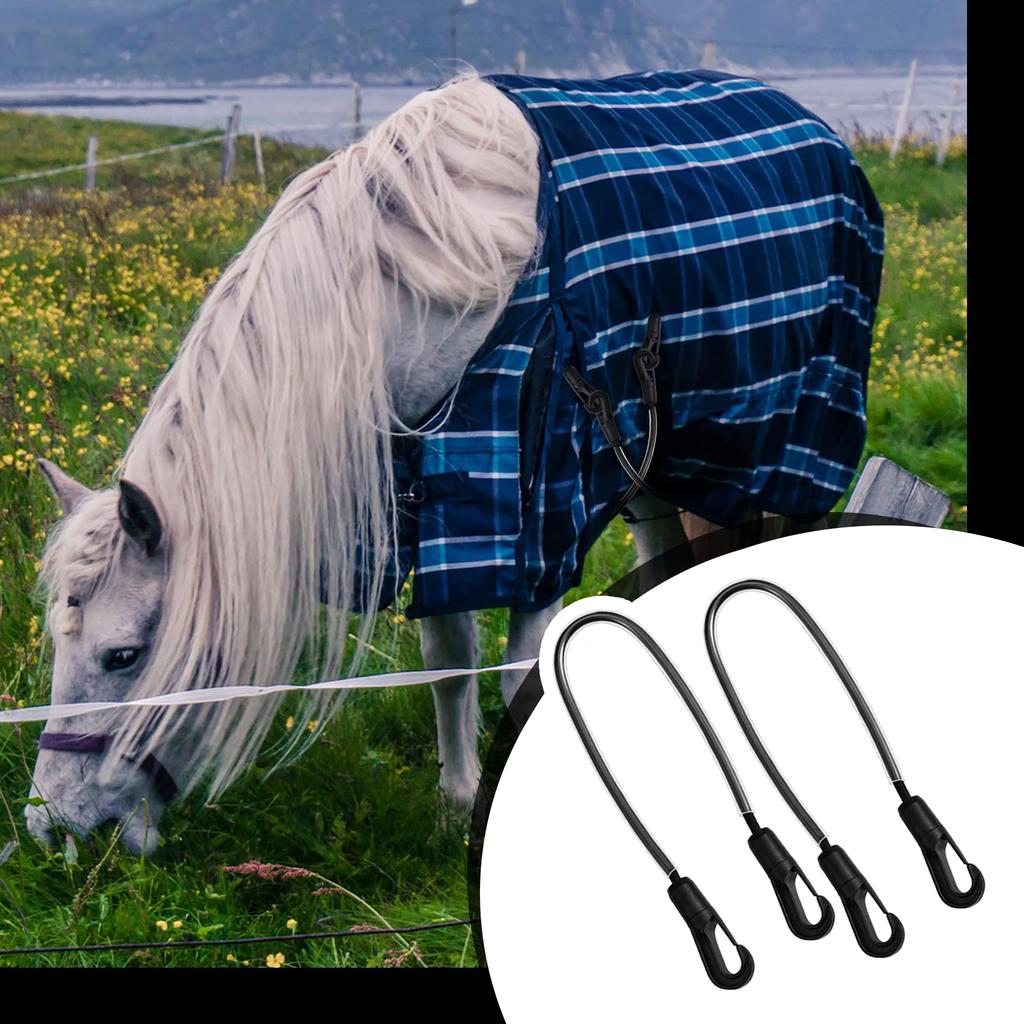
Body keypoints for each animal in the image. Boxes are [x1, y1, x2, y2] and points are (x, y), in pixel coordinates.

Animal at [25, 70, 882, 855]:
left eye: (122, 655)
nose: (50, 824)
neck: (416, 300)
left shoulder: (538, 513)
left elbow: (520, 675)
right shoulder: (433, 504)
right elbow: (446, 663)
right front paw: (457, 799)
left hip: (776, 441)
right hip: (657, 456)